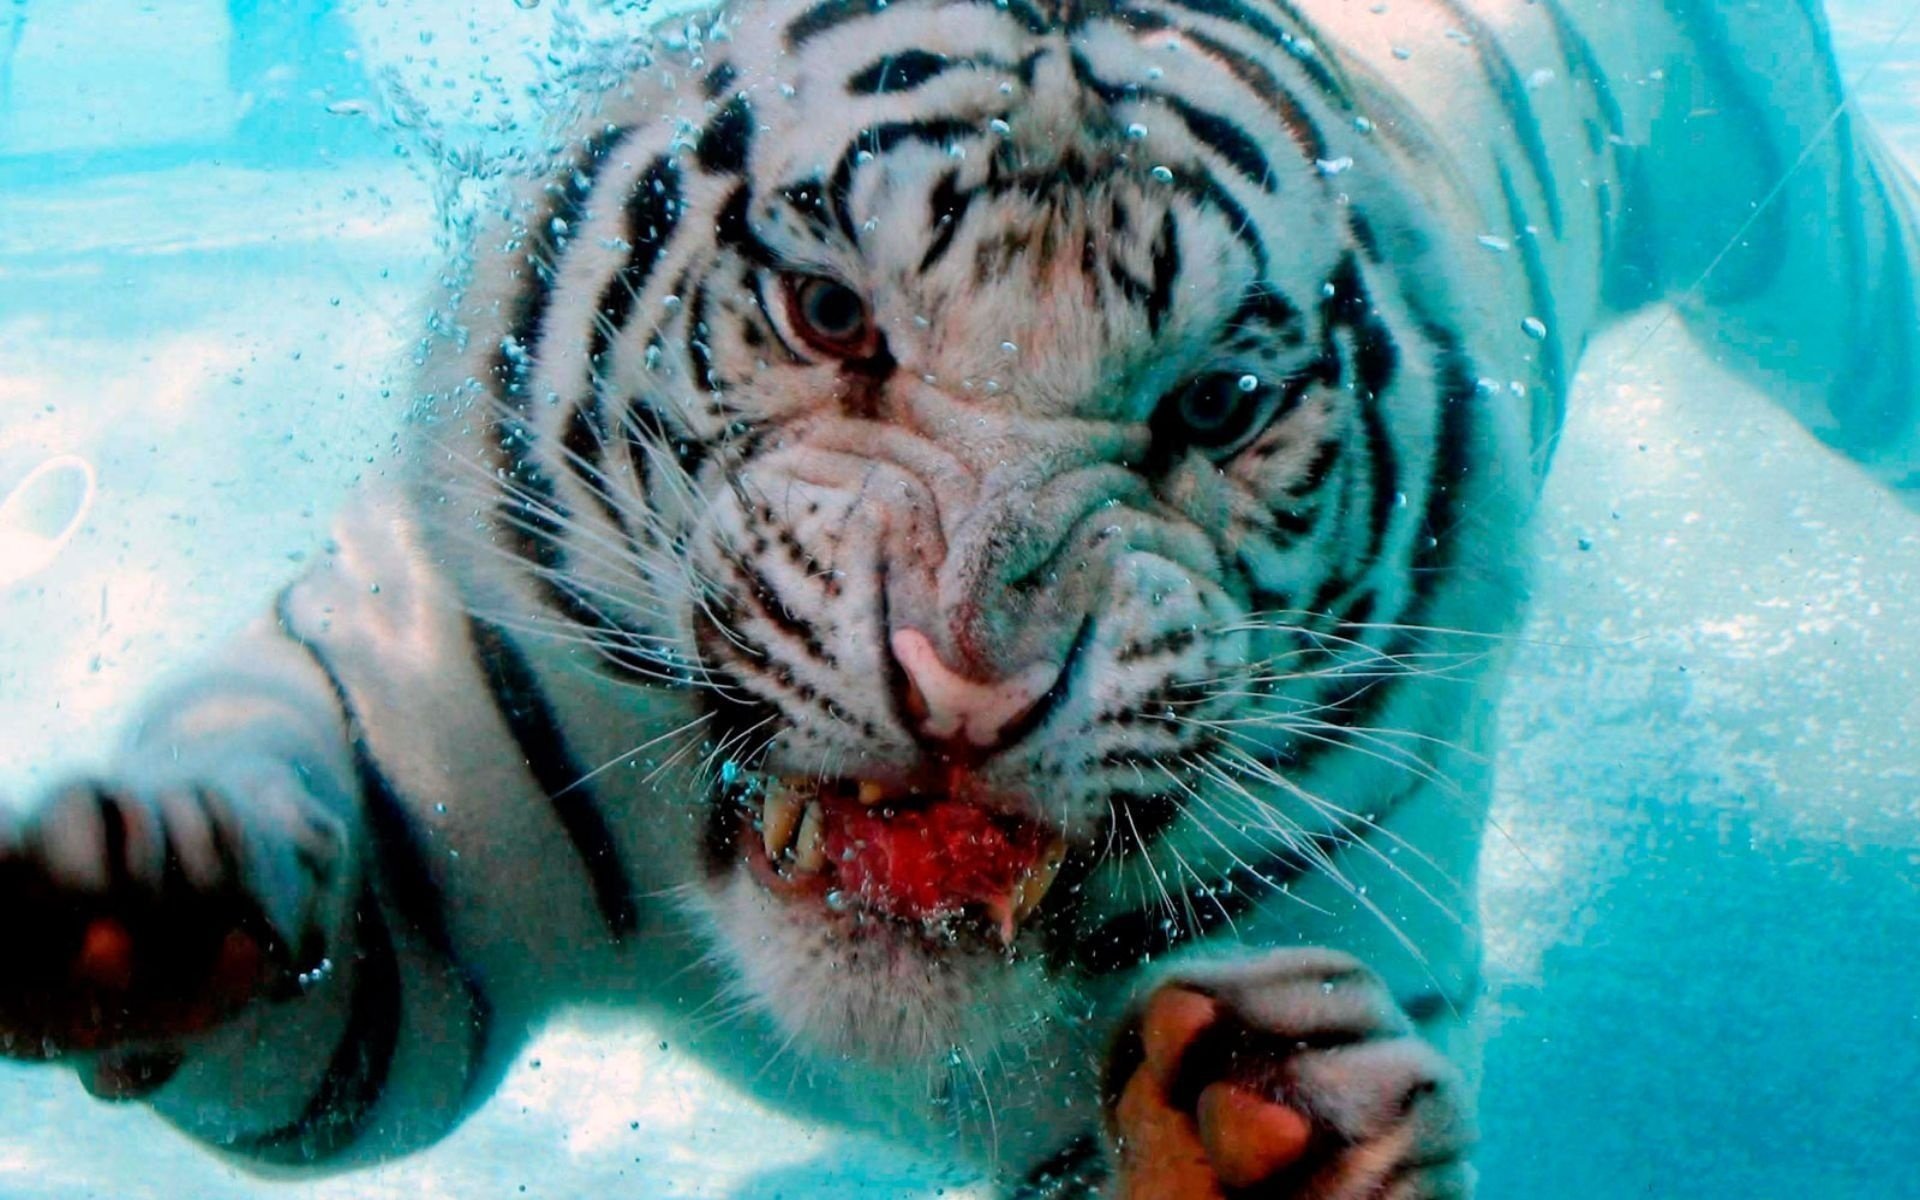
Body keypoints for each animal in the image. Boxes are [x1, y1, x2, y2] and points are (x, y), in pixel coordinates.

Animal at [3, 0, 1916, 1196]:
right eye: (831, 314)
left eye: (1218, 402)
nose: (973, 680)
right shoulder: (429, 776)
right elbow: (301, 934)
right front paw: (143, 894)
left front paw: (1276, 1135)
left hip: (1803, 240)